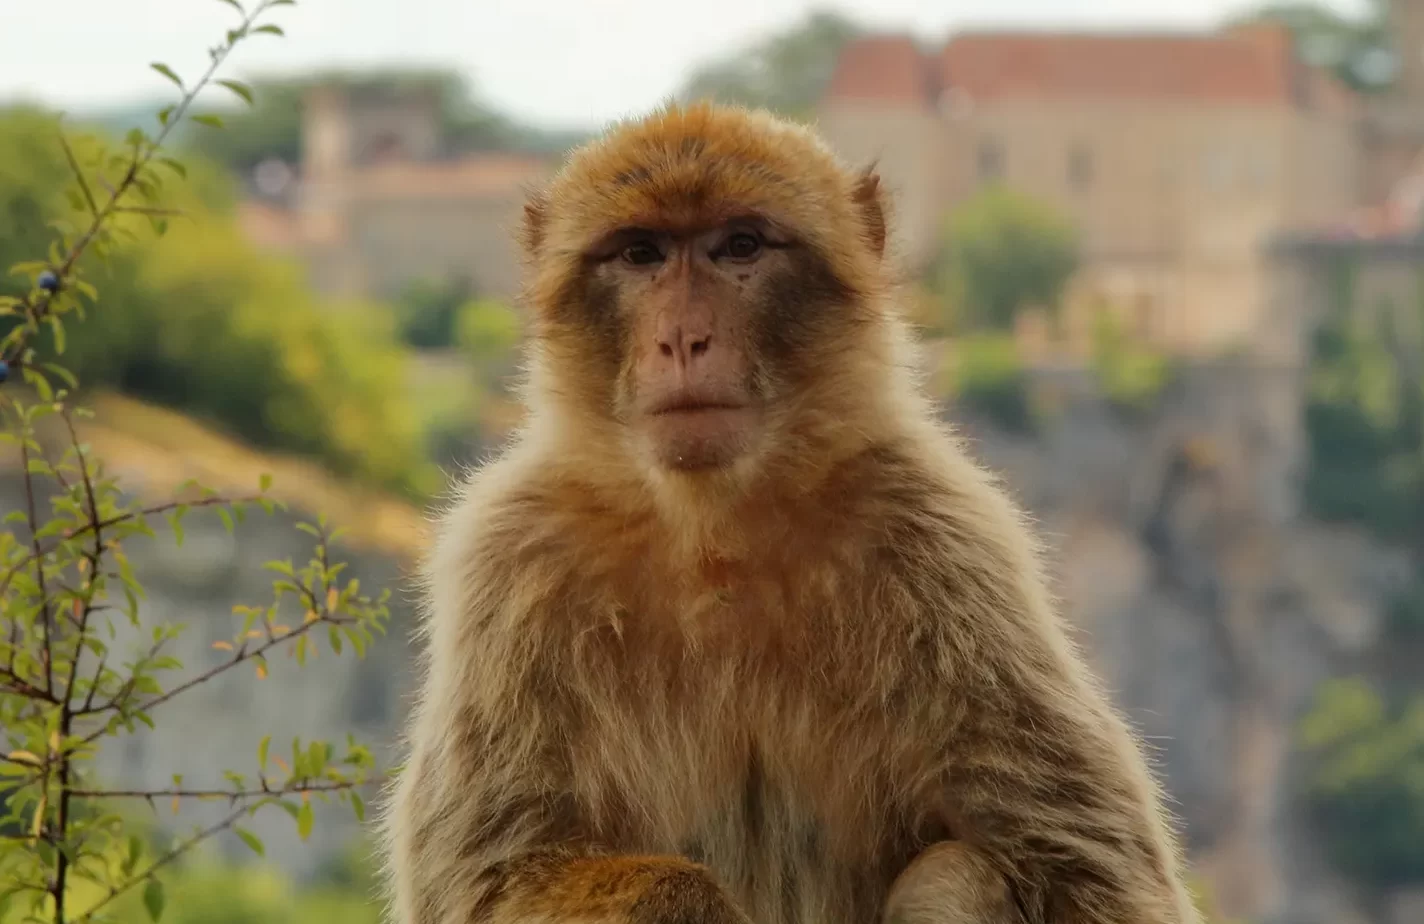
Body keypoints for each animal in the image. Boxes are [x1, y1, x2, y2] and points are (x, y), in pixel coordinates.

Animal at [378, 101, 1201, 922]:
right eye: (641, 254)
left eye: (740, 246)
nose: (683, 338)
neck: (716, 529)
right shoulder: (513, 559)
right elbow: (490, 875)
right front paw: (686, 897)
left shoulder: (945, 539)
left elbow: (1085, 866)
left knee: (956, 870)